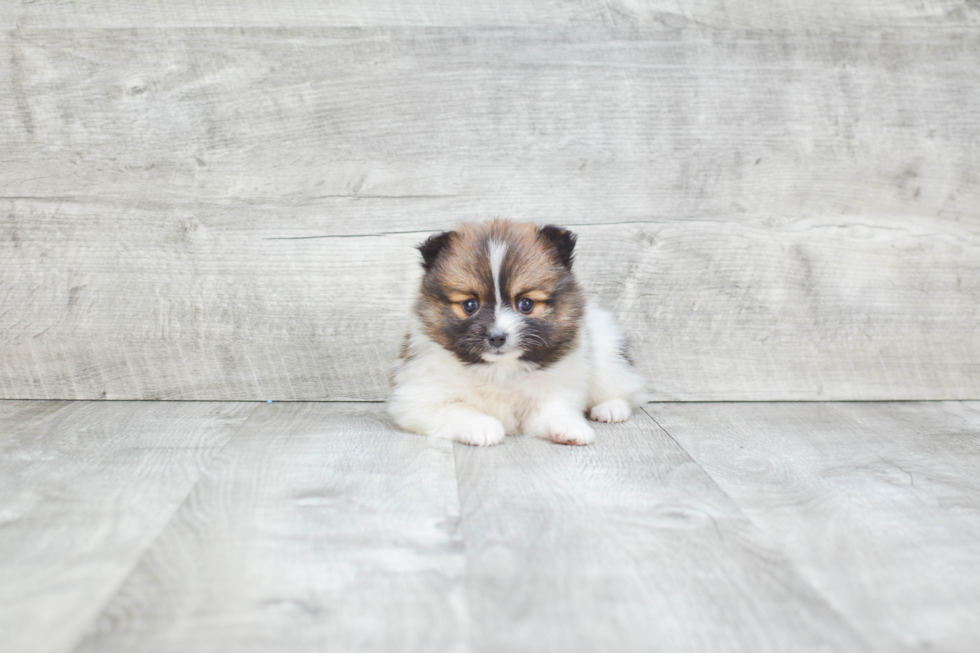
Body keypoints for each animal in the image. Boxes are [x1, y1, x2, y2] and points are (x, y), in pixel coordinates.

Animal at [386, 218, 648, 444]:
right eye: (470, 305)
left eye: (526, 304)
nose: (497, 337)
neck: (499, 369)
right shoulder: (420, 399)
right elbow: (457, 409)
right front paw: (482, 427)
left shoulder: (548, 395)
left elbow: (556, 410)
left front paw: (571, 427)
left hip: (606, 350)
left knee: (624, 388)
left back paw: (610, 409)